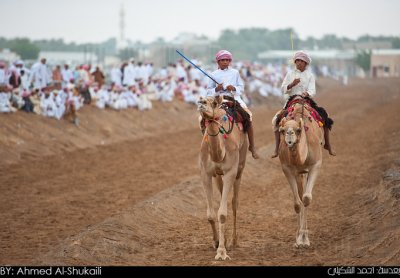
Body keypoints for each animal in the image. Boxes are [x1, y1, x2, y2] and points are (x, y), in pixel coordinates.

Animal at [197, 95, 247, 260]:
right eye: (200, 99)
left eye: (213, 102)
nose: (201, 104)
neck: (220, 153)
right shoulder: (205, 173)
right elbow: (211, 214)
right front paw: (216, 242)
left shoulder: (230, 172)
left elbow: (223, 214)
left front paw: (222, 252)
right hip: (218, 176)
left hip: (240, 168)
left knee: (235, 202)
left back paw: (233, 241)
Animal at [278, 96, 324, 248]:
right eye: (282, 130)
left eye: (298, 130)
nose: (289, 136)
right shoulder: (287, 168)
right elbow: (297, 203)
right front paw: (299, 239)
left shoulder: (316, 164)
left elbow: (306, 198)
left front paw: (305, 238)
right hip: (299, 173)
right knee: (299, 193)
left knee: (304, 195)